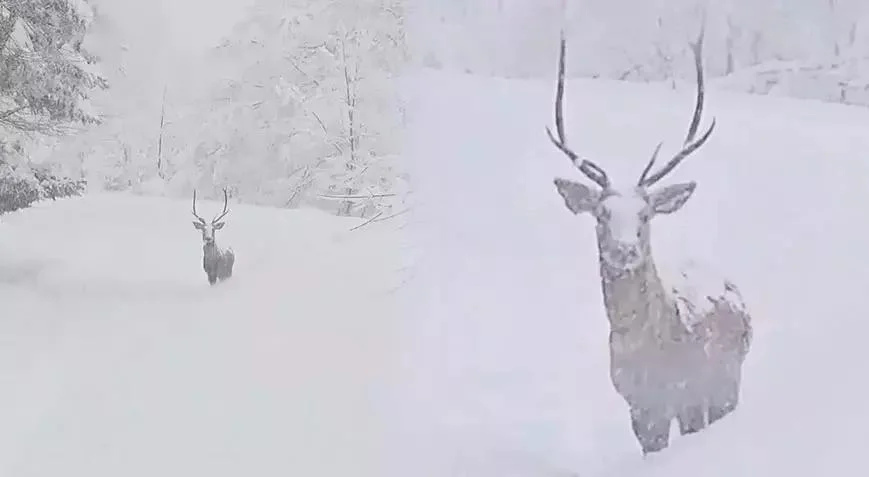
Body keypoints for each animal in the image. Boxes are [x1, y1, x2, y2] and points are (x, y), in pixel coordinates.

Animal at [544, 26, 748, 454]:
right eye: (602, 215)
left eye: (645, 215)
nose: (625, 250)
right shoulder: (638, 404)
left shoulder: (690, 392)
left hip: (728, 380)